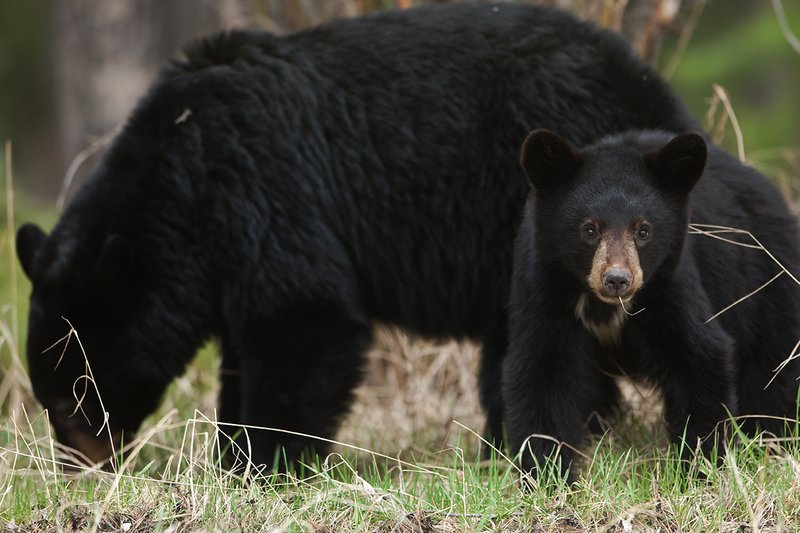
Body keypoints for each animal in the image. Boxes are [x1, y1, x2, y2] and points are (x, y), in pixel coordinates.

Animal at [15, 3, 697, 469]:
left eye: (77, 393)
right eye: (51, 399)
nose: (78, 465)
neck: (185, 169)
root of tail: (655, 91)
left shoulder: (266, 185)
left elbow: (306, 320)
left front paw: (262, 465)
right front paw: (233, 453)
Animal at [505, 128, 800, 481]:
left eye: (643, 230)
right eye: (589, 229)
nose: (617, 280)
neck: (604, 306)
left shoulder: (669, 283)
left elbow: (699, 357)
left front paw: (699, 468)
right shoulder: (545, 289)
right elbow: (542, 374)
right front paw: (548, 476)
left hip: (769, 285)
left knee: (773, 373)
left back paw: (771, 442)